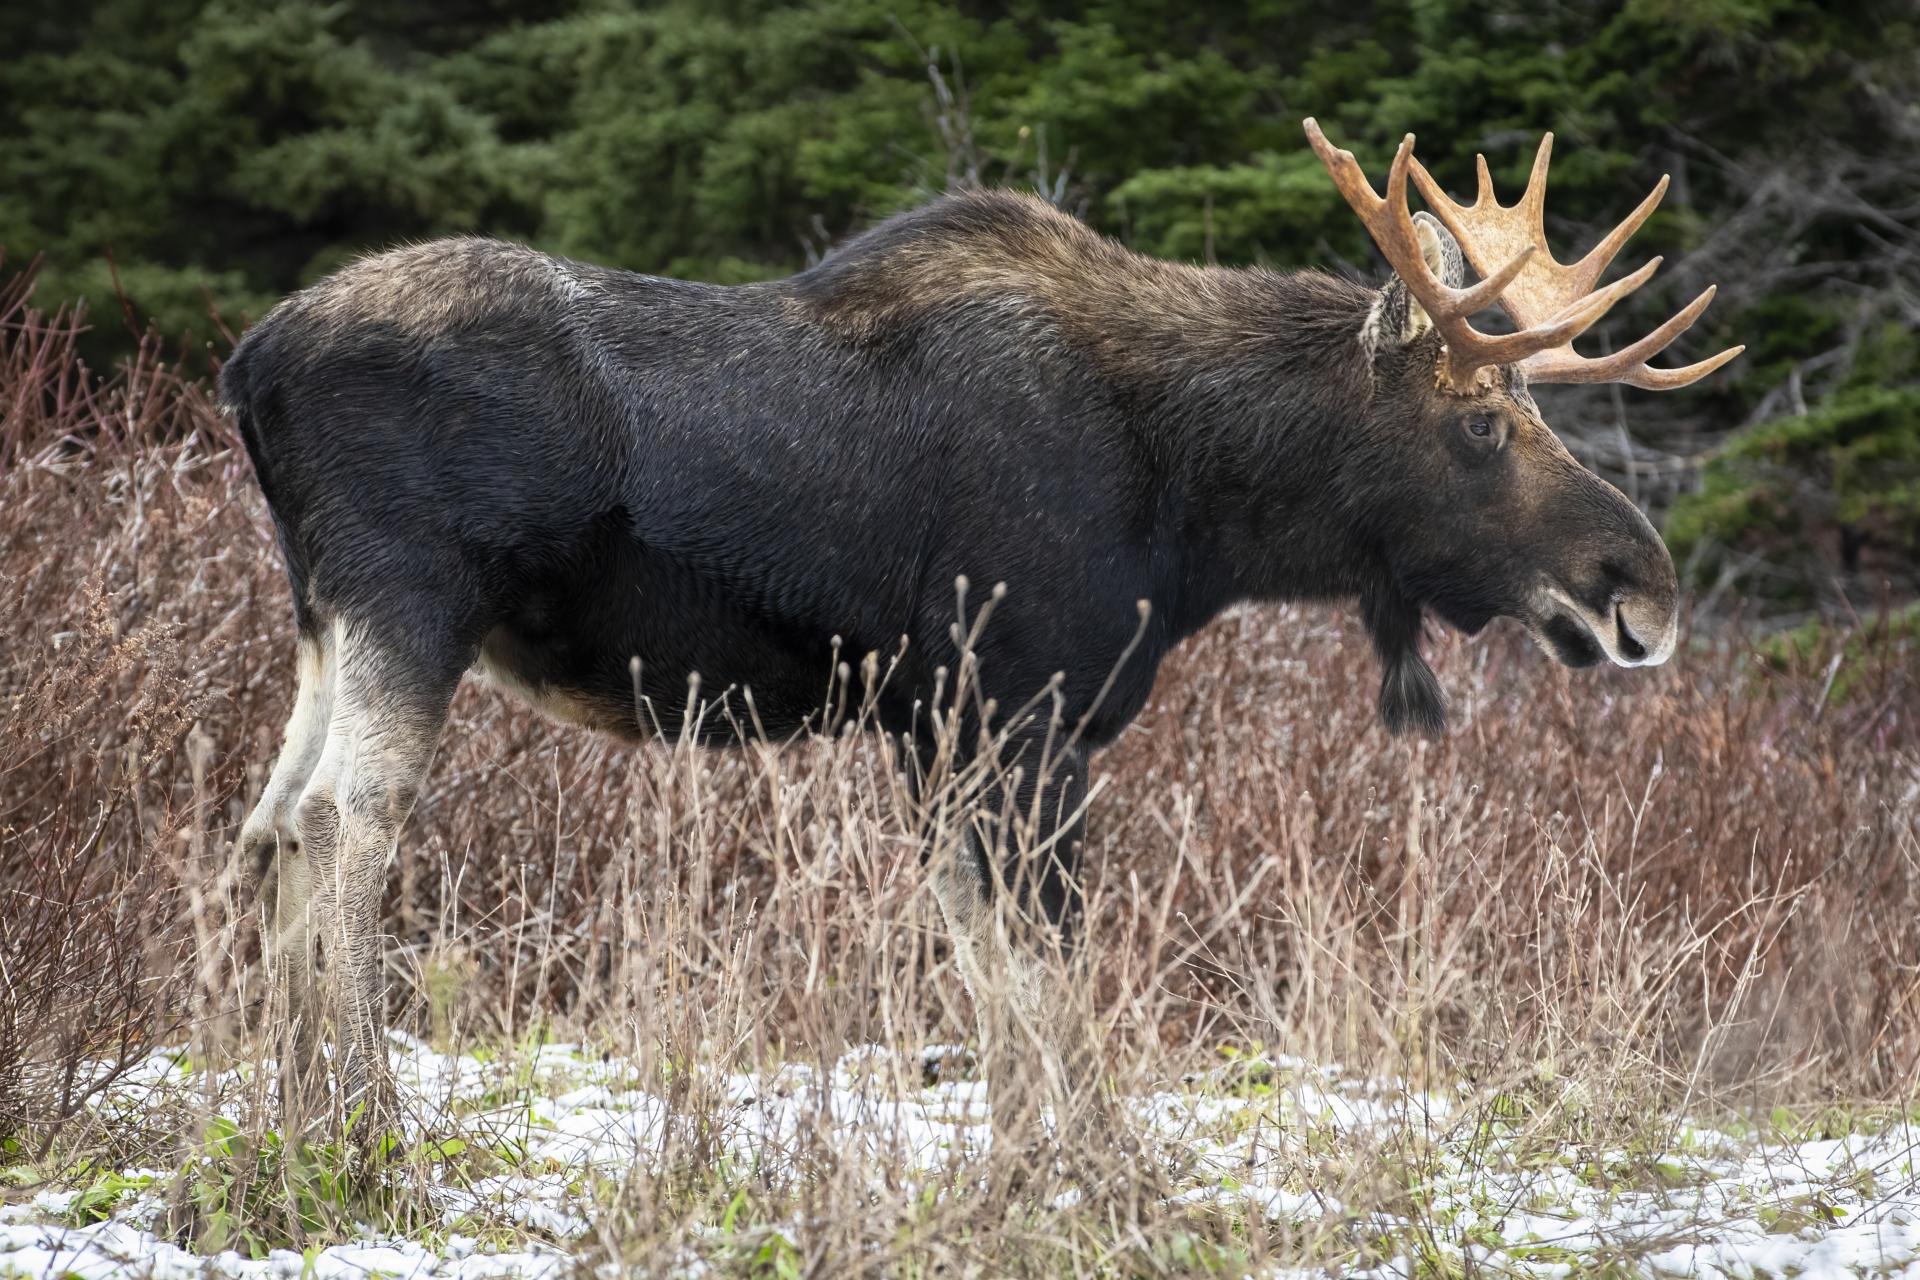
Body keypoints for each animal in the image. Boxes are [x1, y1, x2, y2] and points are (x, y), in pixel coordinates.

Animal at [221, 118, 1740, 1147]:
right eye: (1482, 423)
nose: (1640, 588)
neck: (1201, 510)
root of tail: (249, 367)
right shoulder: (1022, 703)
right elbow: (1047, 956)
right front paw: (1101, 1164)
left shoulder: (936, 722)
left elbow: (976, 945)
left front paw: (1022, 1160)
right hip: (415, 594)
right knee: (347, 822)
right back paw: (369, 1123)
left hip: (325, 615)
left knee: (270, 821)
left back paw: (290, 1126)